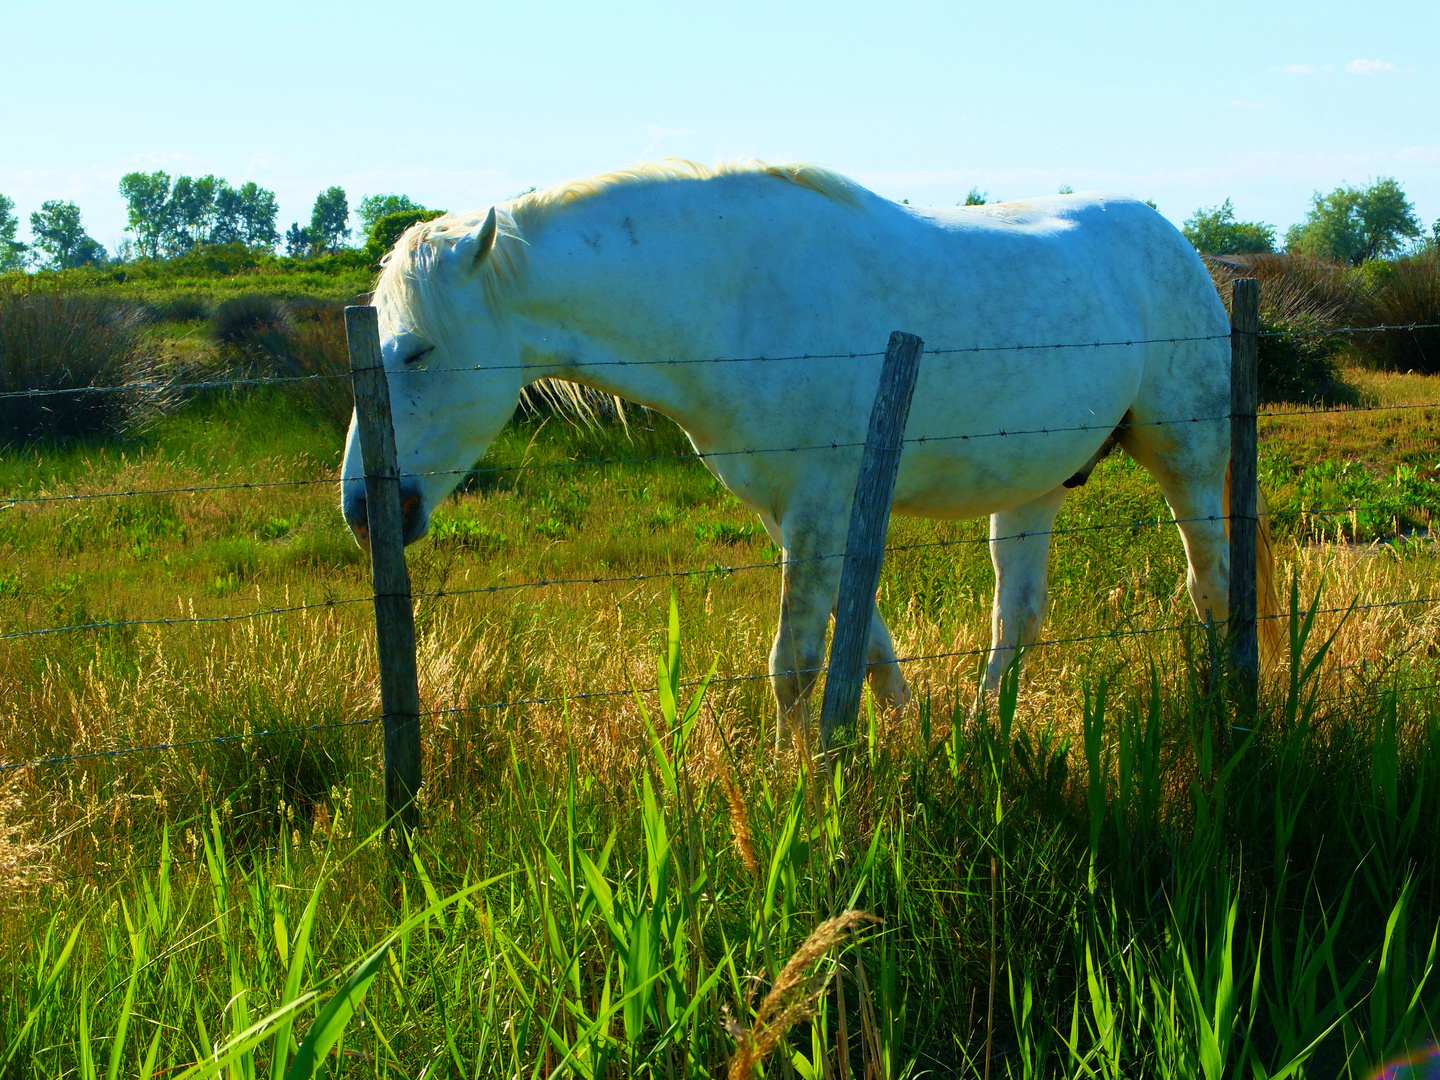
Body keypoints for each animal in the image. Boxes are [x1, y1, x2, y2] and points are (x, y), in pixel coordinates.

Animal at [342, 162, 1278, 737]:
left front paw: (792, 800)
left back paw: (1227, 714)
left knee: (1212, 586)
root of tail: (1180, 243)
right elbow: (869, 647)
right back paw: (985, 732)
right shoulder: (792, 513)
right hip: (1032, 486)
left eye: (417, 352)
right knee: (1018, 615)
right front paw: (901, 744)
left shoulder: (820, 510)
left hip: (1188, 461)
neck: (738, 301)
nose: (365, 507)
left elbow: (794, 667)